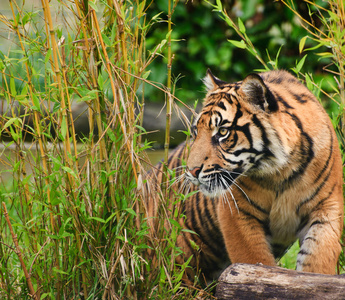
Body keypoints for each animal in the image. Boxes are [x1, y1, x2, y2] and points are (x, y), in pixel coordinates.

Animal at [144, 68, 342, 284]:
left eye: (222, 131)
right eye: (196, 131)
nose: (192, 171)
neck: (282, 171)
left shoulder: (326, 209)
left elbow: (319, 261)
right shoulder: (237, 212)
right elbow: (254, 263)